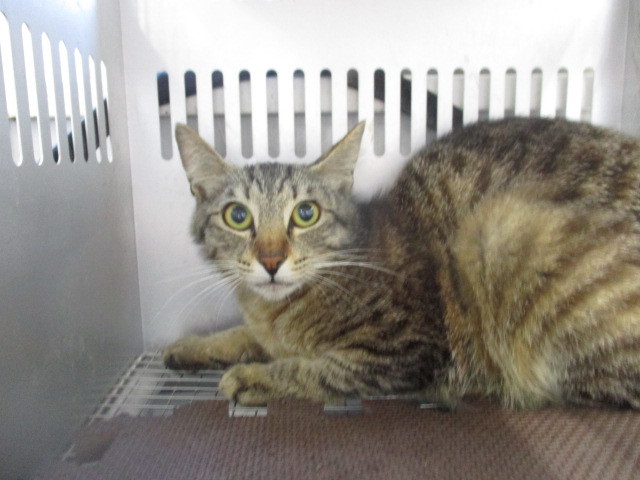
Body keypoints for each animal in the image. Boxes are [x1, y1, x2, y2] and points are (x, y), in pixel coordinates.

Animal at [164, 117, 640, 409]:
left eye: (306, 213)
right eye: (237, 216)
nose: (271, 260)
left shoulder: (406, 349)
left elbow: (316, 369)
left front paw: (255, 377)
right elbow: (242, 334)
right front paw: (194, 346)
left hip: (504, 231)